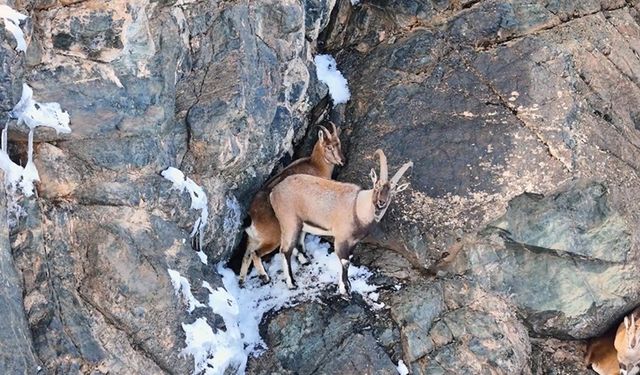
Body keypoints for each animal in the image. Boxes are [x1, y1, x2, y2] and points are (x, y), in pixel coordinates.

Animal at [236, 123, 344, 284]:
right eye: (329, 147)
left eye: (339, 144)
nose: (342, 160)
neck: (316, 166)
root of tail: (252, 217)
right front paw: (303, 256)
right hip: (272, 238)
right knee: (256, 254)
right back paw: (265, 276)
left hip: (252, 239)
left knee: (246, 256)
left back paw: (242, 280)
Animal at [268, 149, 410, 294]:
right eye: (377, 185)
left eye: (392, 191)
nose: (381, 203)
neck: (357, 207)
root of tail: (274, 192)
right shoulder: (341, 239)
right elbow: (345, 262)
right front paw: (345, 289)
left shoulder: (354, 241)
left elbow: (350, 258)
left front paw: (348, 285)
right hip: (289, 222)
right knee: (285, 250)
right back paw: (291, 283)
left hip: (301, 223)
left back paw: (304, 260)